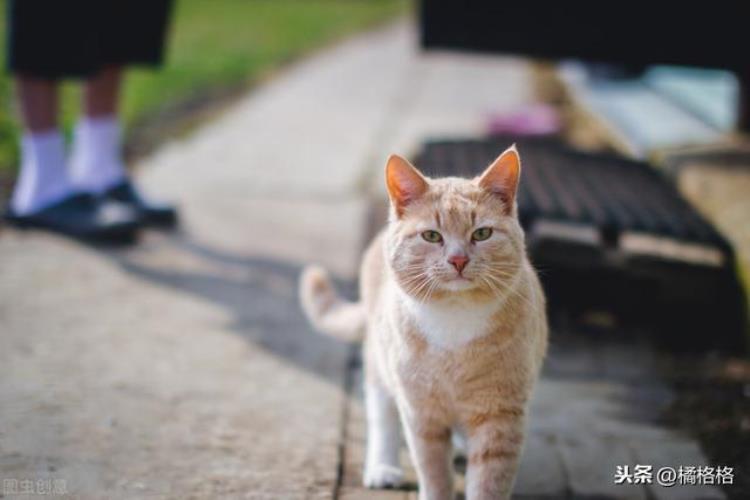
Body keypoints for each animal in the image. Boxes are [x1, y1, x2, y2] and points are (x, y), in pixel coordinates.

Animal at [302, 146, 548, 500]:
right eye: (432, 236)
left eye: (482, 233)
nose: (458, 260)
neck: (454, 320)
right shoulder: (421, 412)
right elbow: (433, 470)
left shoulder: (501, 414)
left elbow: (489, 478)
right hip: (379, 363)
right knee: (382, 415)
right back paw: (383, 467)